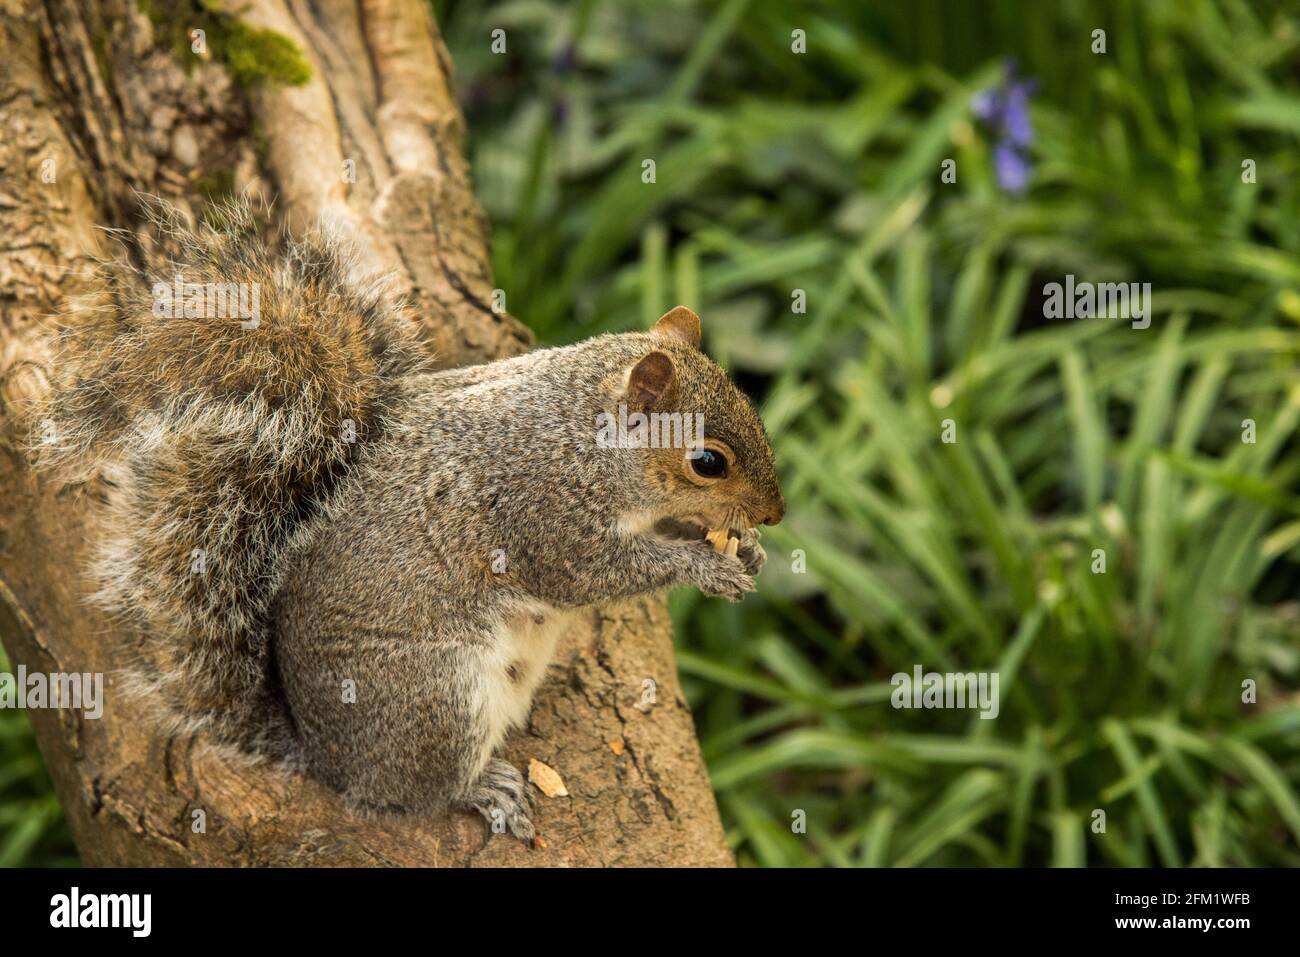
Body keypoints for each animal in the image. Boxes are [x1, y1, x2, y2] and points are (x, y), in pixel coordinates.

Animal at [32, 200, 780, 837]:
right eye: (707, 461)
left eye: (749, 401)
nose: (774, 512)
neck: (581, 431)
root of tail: (325, 756)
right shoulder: (542, 509)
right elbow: (593, 574)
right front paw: (704, 564)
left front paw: (745, 551)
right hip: (437, 700)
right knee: (414, 793)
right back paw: (479, 789)